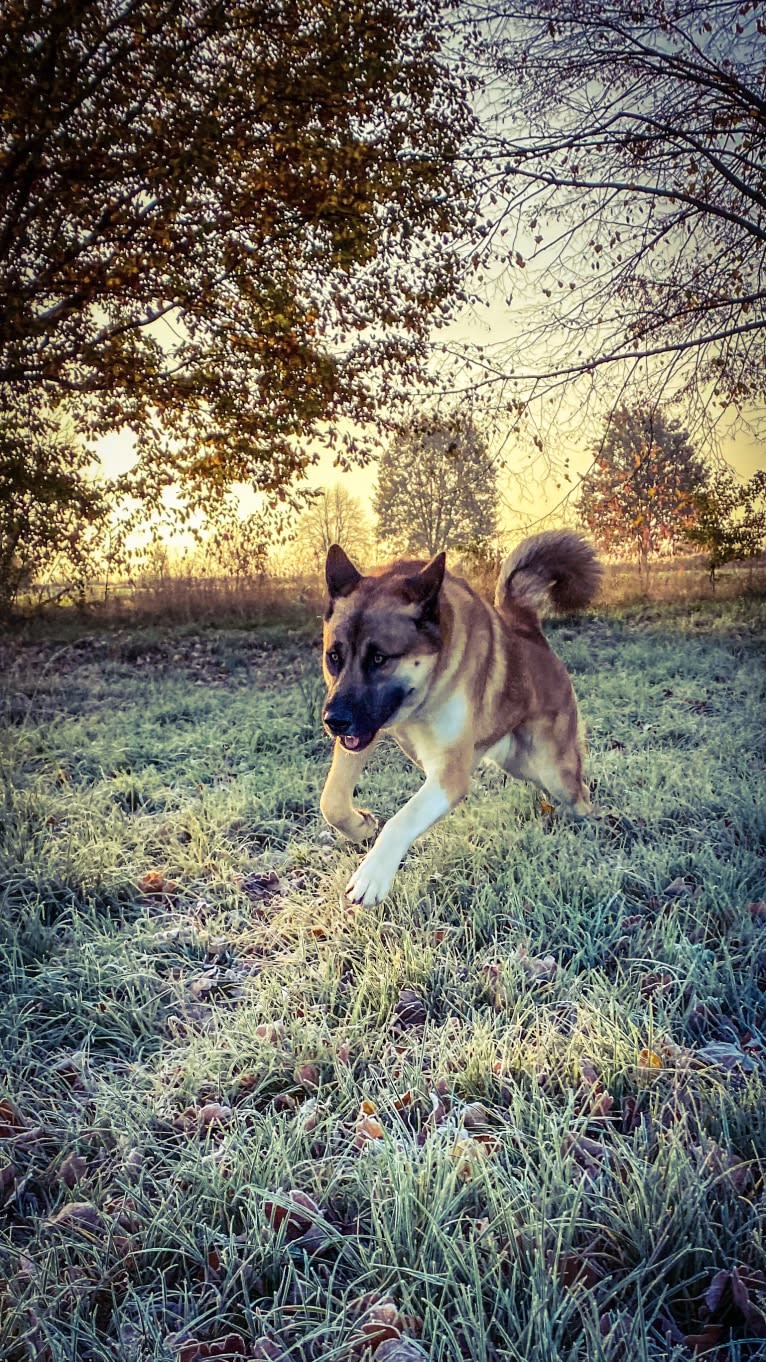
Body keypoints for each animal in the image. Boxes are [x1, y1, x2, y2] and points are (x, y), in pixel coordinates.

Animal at [318, 531, 599, 904]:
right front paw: (361, 826)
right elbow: (332, 800)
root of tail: (528, 630)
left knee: (580, 792)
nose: (333, 721)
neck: (423, 695)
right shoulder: (365, 731)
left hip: (553, 769)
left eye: (379, 658)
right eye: (334, 657)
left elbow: (402, 819)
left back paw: (586, 825)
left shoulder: (449, 775)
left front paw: (373, 874)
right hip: (521, 765)